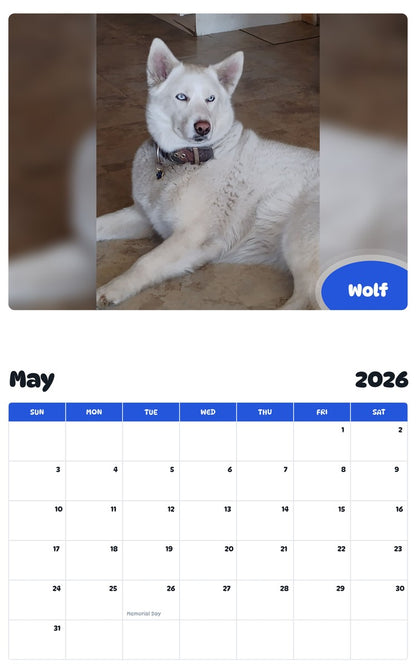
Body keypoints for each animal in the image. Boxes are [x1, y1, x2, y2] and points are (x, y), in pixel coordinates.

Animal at [96, 38, 319, 308]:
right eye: (182, 97)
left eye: (210, 99)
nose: (203, 127)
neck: (184, 161)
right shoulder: (144, 217)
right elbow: (99, 224)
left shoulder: (189, 236)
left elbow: (144, 261)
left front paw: (112, 288)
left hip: (300, 234)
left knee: (307, 297)